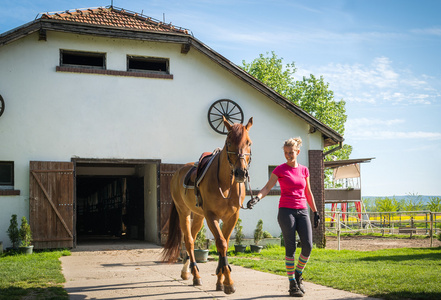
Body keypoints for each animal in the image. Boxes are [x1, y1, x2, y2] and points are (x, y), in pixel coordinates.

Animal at [161, 116, 251, 294]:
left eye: (249, 143)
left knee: (193, 238)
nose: (241, 173)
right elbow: (221, 243)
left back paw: (186, 272)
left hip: (198, 216)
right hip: (184, 212)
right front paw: (228, 283)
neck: (226, 184)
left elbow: (224, 243)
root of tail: (177, 173)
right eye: (229, 142)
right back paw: (195, 275)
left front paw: (220, 280)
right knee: (189, 241)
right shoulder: (211, 216)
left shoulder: (231, 217)